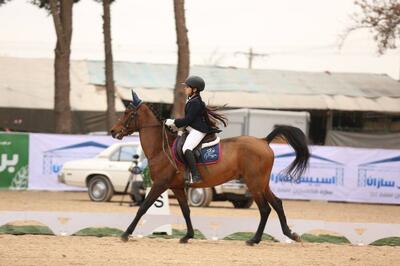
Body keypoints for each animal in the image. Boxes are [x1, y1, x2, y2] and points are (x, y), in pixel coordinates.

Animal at [111, 91, 310, 245]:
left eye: (128, 113)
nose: (113, 131)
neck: (161, 148)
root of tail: (263, 141)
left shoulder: (160, 184)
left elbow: (143, 207)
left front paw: (126, 234)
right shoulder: (177, 187)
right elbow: (186, 210)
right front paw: (187, 236)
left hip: (254, 183)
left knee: (265, 209)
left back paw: (254, 239)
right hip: (261, 183)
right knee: (277, 204)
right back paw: (290, 234)